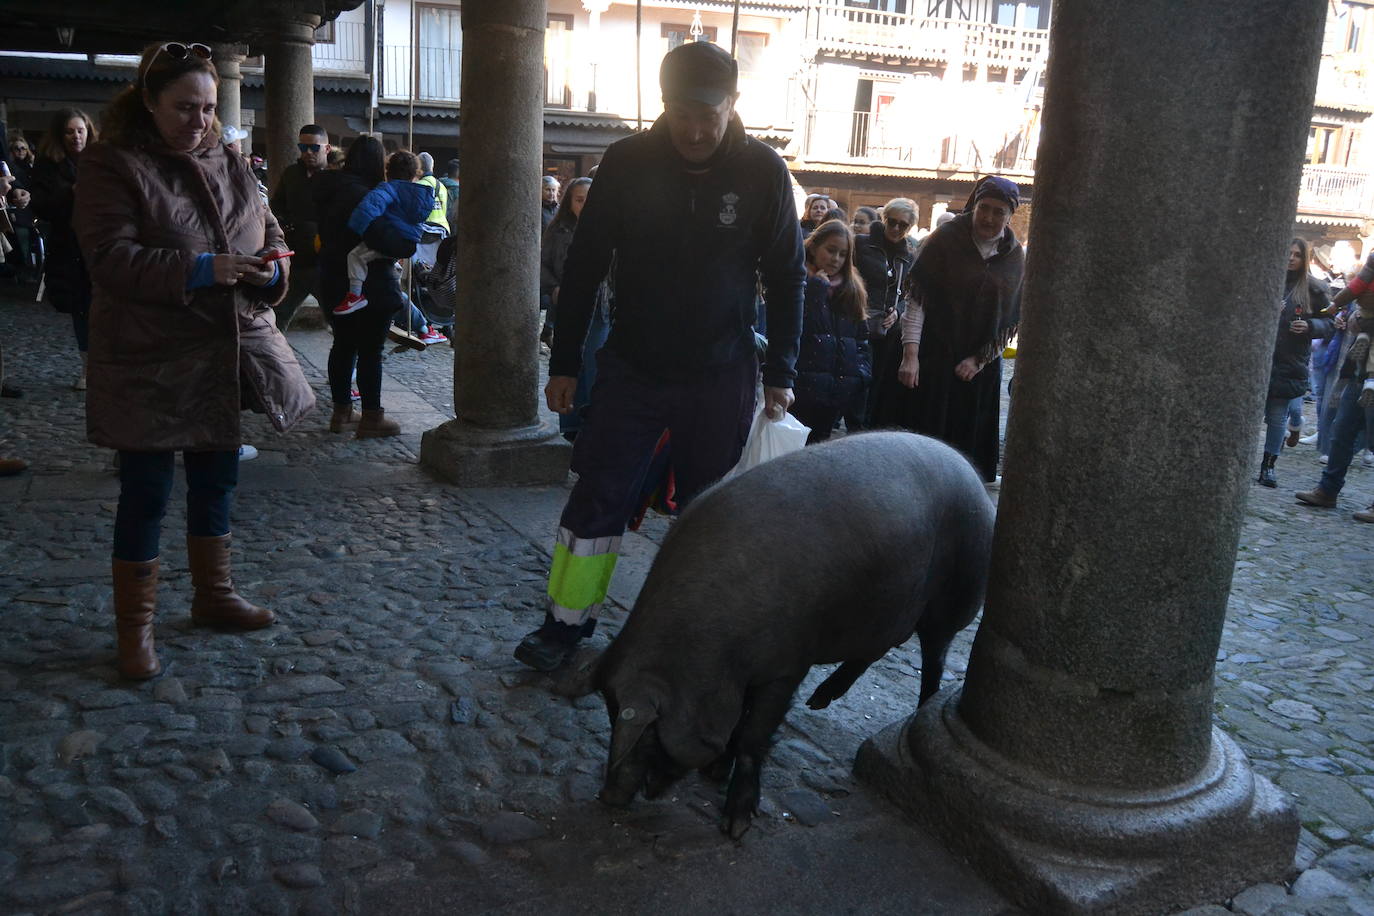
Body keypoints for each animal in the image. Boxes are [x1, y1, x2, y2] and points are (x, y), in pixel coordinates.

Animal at [560, 431, 1000, 840]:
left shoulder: (787, 664)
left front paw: (735, 826)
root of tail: (971, 474)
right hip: (885, 612)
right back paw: (819, 701)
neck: (710, 654)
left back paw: (918, 712)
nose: (609, 797)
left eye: (649, 734)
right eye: (610, 714)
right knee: (877, 649)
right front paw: (715, 772)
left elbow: (754, 734)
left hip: (955, 596)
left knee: (935, 656)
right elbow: (738, 722)